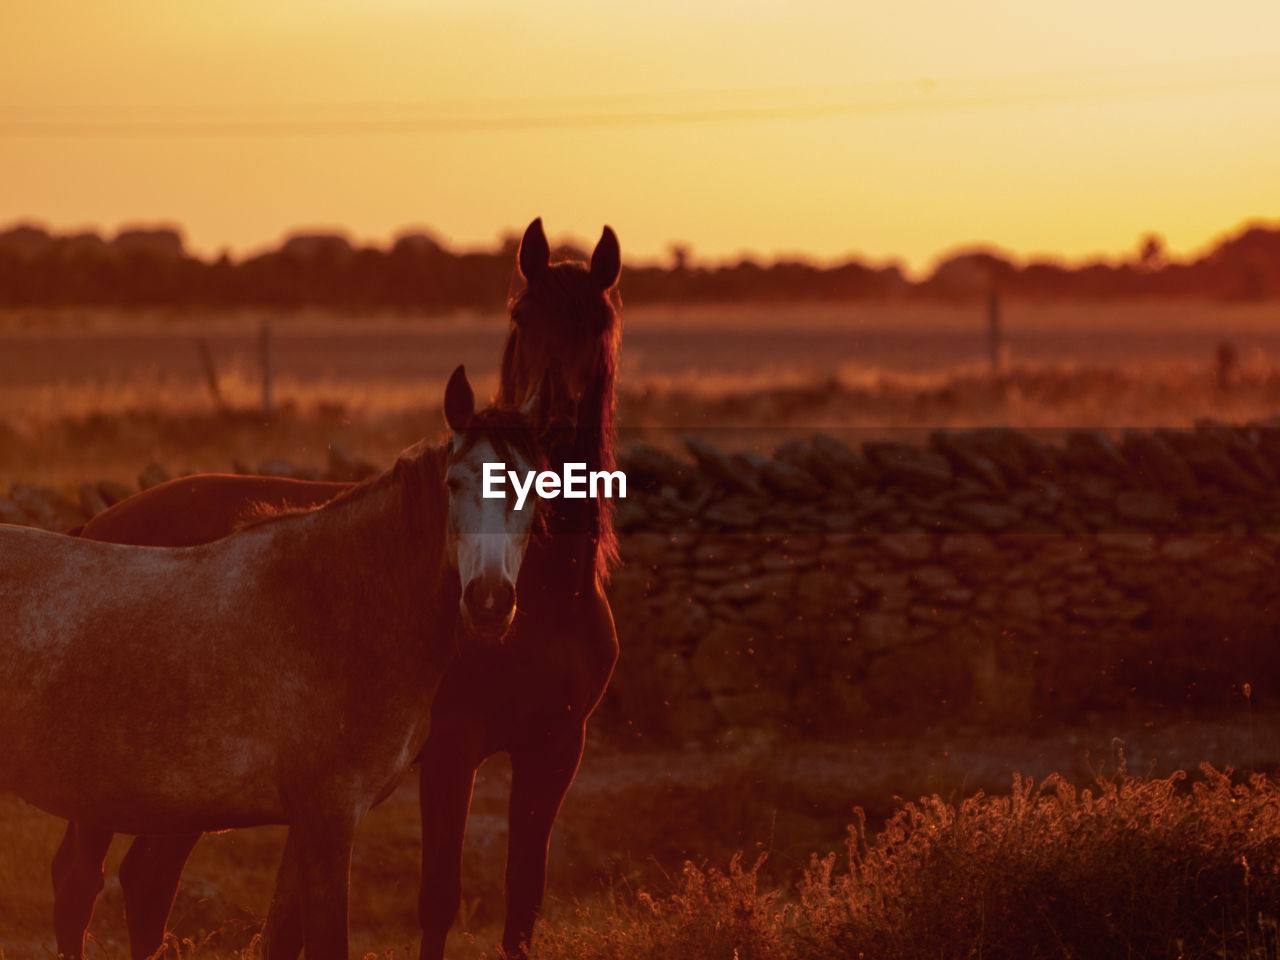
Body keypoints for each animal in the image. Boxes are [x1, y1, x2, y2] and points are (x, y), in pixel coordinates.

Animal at [41, 220, 619, 960]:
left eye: (595, 320)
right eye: (522, 315)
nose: (546, 420)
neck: (548, 593)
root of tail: (99, 524)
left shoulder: (554, 748)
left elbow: (523, 902)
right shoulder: (453, 752)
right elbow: (438, 898)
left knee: (146, 880)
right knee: (80, 883)